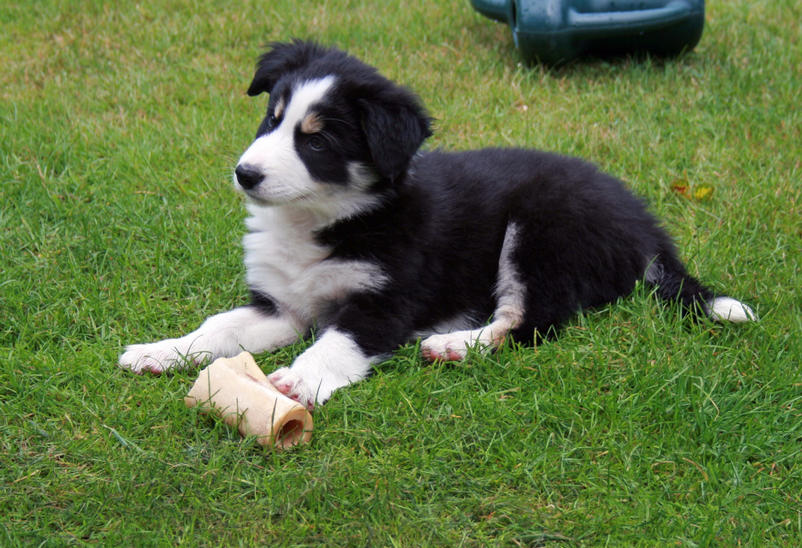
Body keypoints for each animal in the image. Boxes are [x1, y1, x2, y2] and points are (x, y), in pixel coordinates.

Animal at [117, 40, 752, 408]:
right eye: (270, 119)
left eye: (317, 141)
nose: (245, 175)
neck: (328, 220)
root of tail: (644, 222)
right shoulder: (282, 307)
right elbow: (219, 328)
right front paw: (161, 351)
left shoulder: (385, 302)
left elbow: (338, 341)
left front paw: (299, 380)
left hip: (541, 230)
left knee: (531, 322)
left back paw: (454, 345)